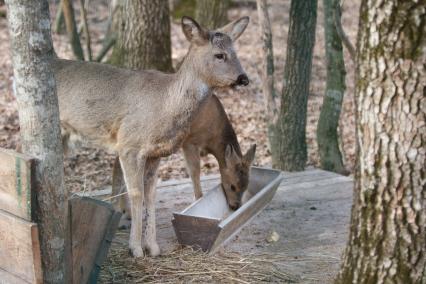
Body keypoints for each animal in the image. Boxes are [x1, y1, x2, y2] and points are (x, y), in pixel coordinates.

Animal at [53, 16, 250, 258]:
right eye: (219, 55)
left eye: (236, 52)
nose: (243, 78)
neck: (164, 105)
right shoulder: (129, 144)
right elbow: (137, 193)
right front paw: (136, 249)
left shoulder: (155, 154)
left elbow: (150, 195)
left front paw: (153, 247)